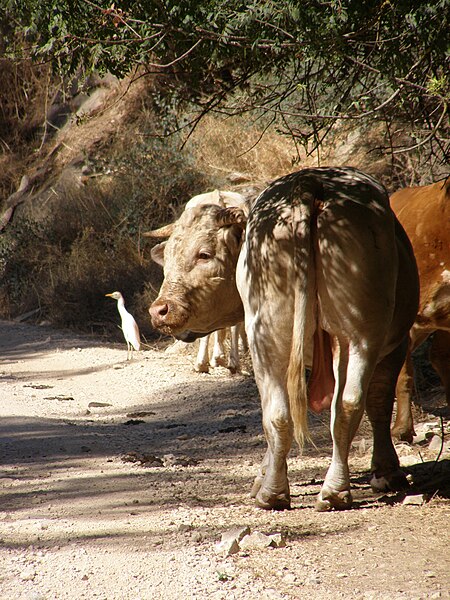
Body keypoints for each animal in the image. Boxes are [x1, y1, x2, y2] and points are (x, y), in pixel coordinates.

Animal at [148, 168, 418, 510]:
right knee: (342, 405)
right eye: (168, 257)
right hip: (355, 337)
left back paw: (282, 491)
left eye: (204, 254)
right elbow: (379, 403)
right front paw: (386, 470)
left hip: (275, 336)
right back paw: (322, 489)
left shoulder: (395, 345)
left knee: (288, 413)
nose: (159, 310)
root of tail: (310, 183)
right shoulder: (393, 345)